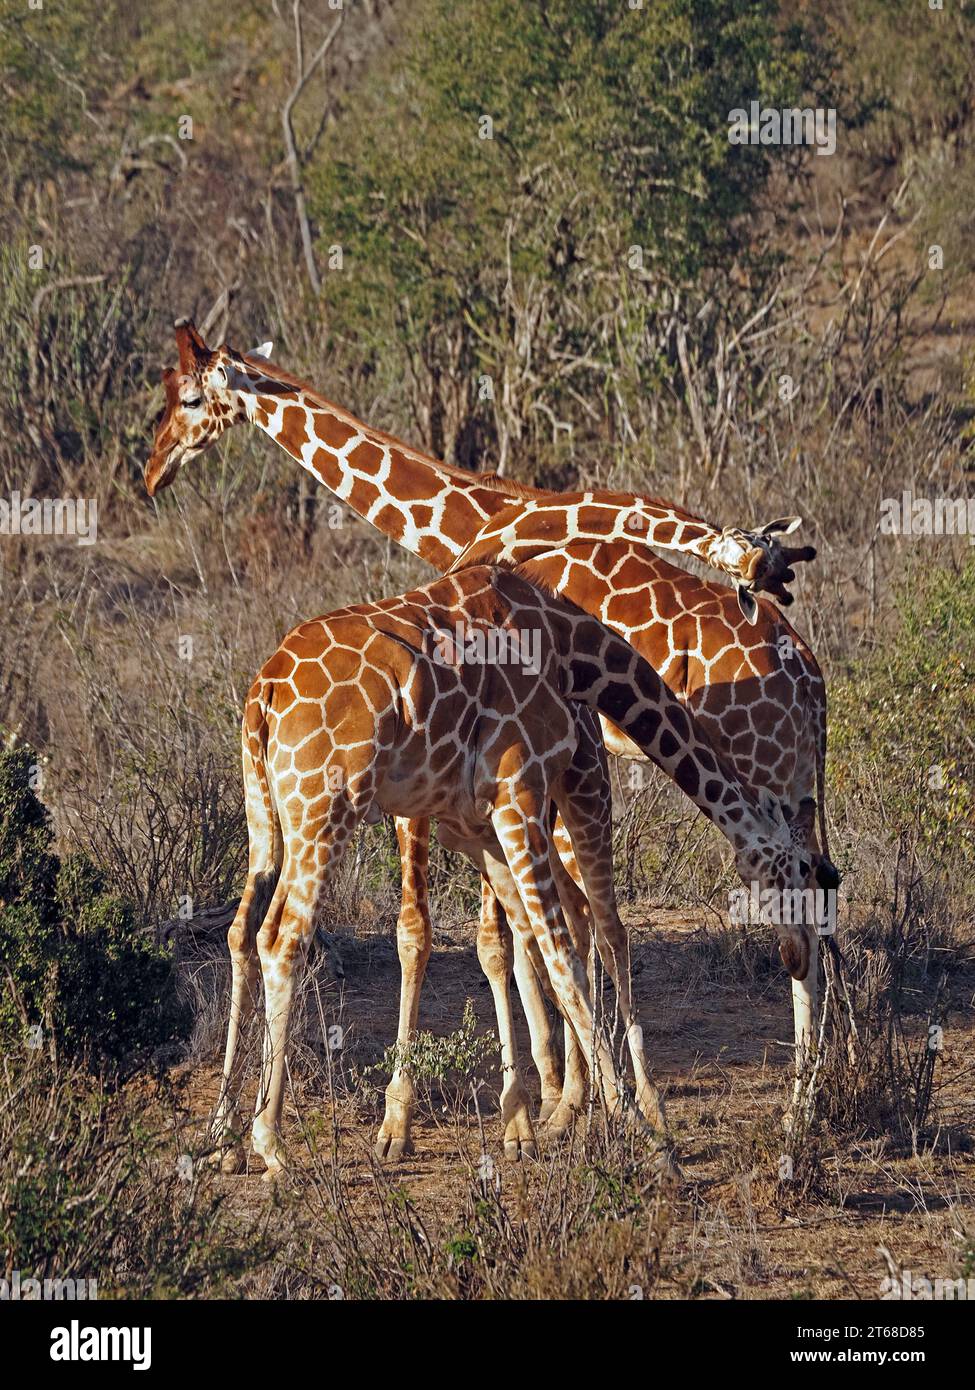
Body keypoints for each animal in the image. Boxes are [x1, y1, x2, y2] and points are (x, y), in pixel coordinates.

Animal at [211, 561, 823, 1173]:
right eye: (796, 875)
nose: (795, 956)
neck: (571, 647)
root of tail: (262, 691)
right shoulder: (518, 794)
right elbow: (561, 959)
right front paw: (645, 1136)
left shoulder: (486, 821)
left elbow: (526, 948)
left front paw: (545, 1116)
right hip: (327, 808)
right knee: (284, 940)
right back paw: (271, 1142)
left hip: (269, 815)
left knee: (248, 930)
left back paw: (229, 1133)